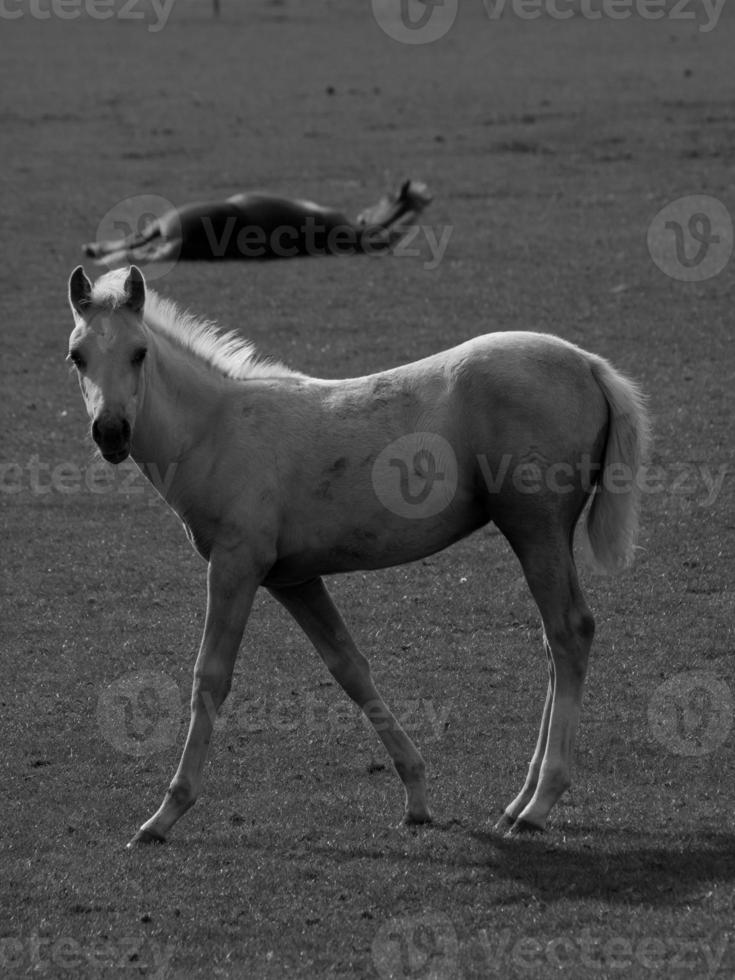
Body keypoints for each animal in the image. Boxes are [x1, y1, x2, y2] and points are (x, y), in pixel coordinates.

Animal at [64, 264, 648, 848]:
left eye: (140, 352)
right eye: (77, 356)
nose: (111, 433)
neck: (214, 430)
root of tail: (586, 363)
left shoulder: (235, 565)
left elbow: (210, 677)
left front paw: (164, 814)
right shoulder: (293, 581)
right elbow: (350, 668)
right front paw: (416, 797)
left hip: (535, 529)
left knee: (569, 632)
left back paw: (538, 805)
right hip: (539, 536)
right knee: (553, 644)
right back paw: (518, 801)